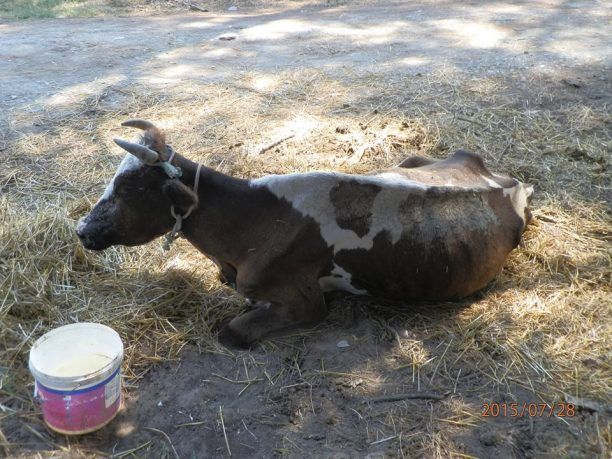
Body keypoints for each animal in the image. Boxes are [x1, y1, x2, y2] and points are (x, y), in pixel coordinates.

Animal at [79, 120, 532, 346]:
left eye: (129, 189)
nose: (82, 229)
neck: (250, 224)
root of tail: (507, 182)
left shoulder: (308, 303)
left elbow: (232, 332)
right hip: (414, 159)